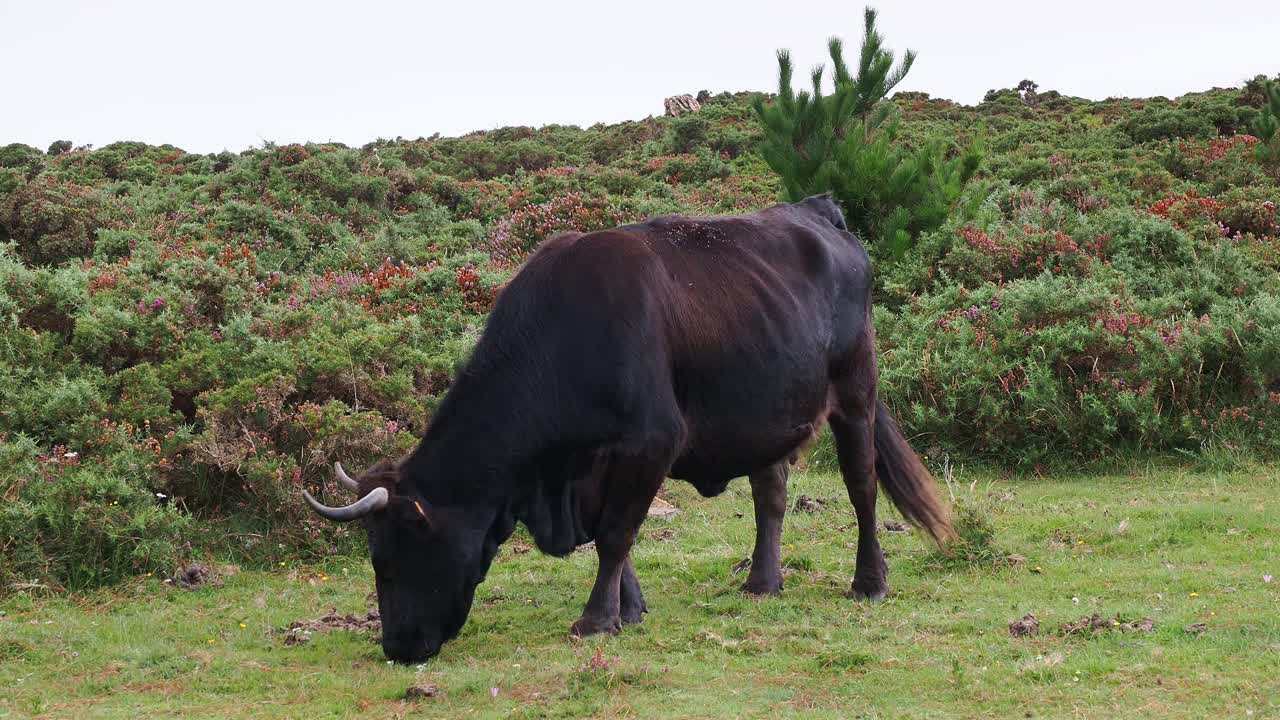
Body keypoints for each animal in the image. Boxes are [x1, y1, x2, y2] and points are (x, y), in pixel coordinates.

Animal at [304, 194, 957, 661]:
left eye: (393, 558)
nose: (396, 647)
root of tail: (817, 210)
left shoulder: (651, 443)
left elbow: (617, 533)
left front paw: (597, 619)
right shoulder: (591, 468)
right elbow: (607, 533)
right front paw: (630, 606)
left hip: (856, 394)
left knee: (862, 485)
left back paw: (869, 581)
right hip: (766, 411)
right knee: (770, 493)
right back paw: (762, 581)